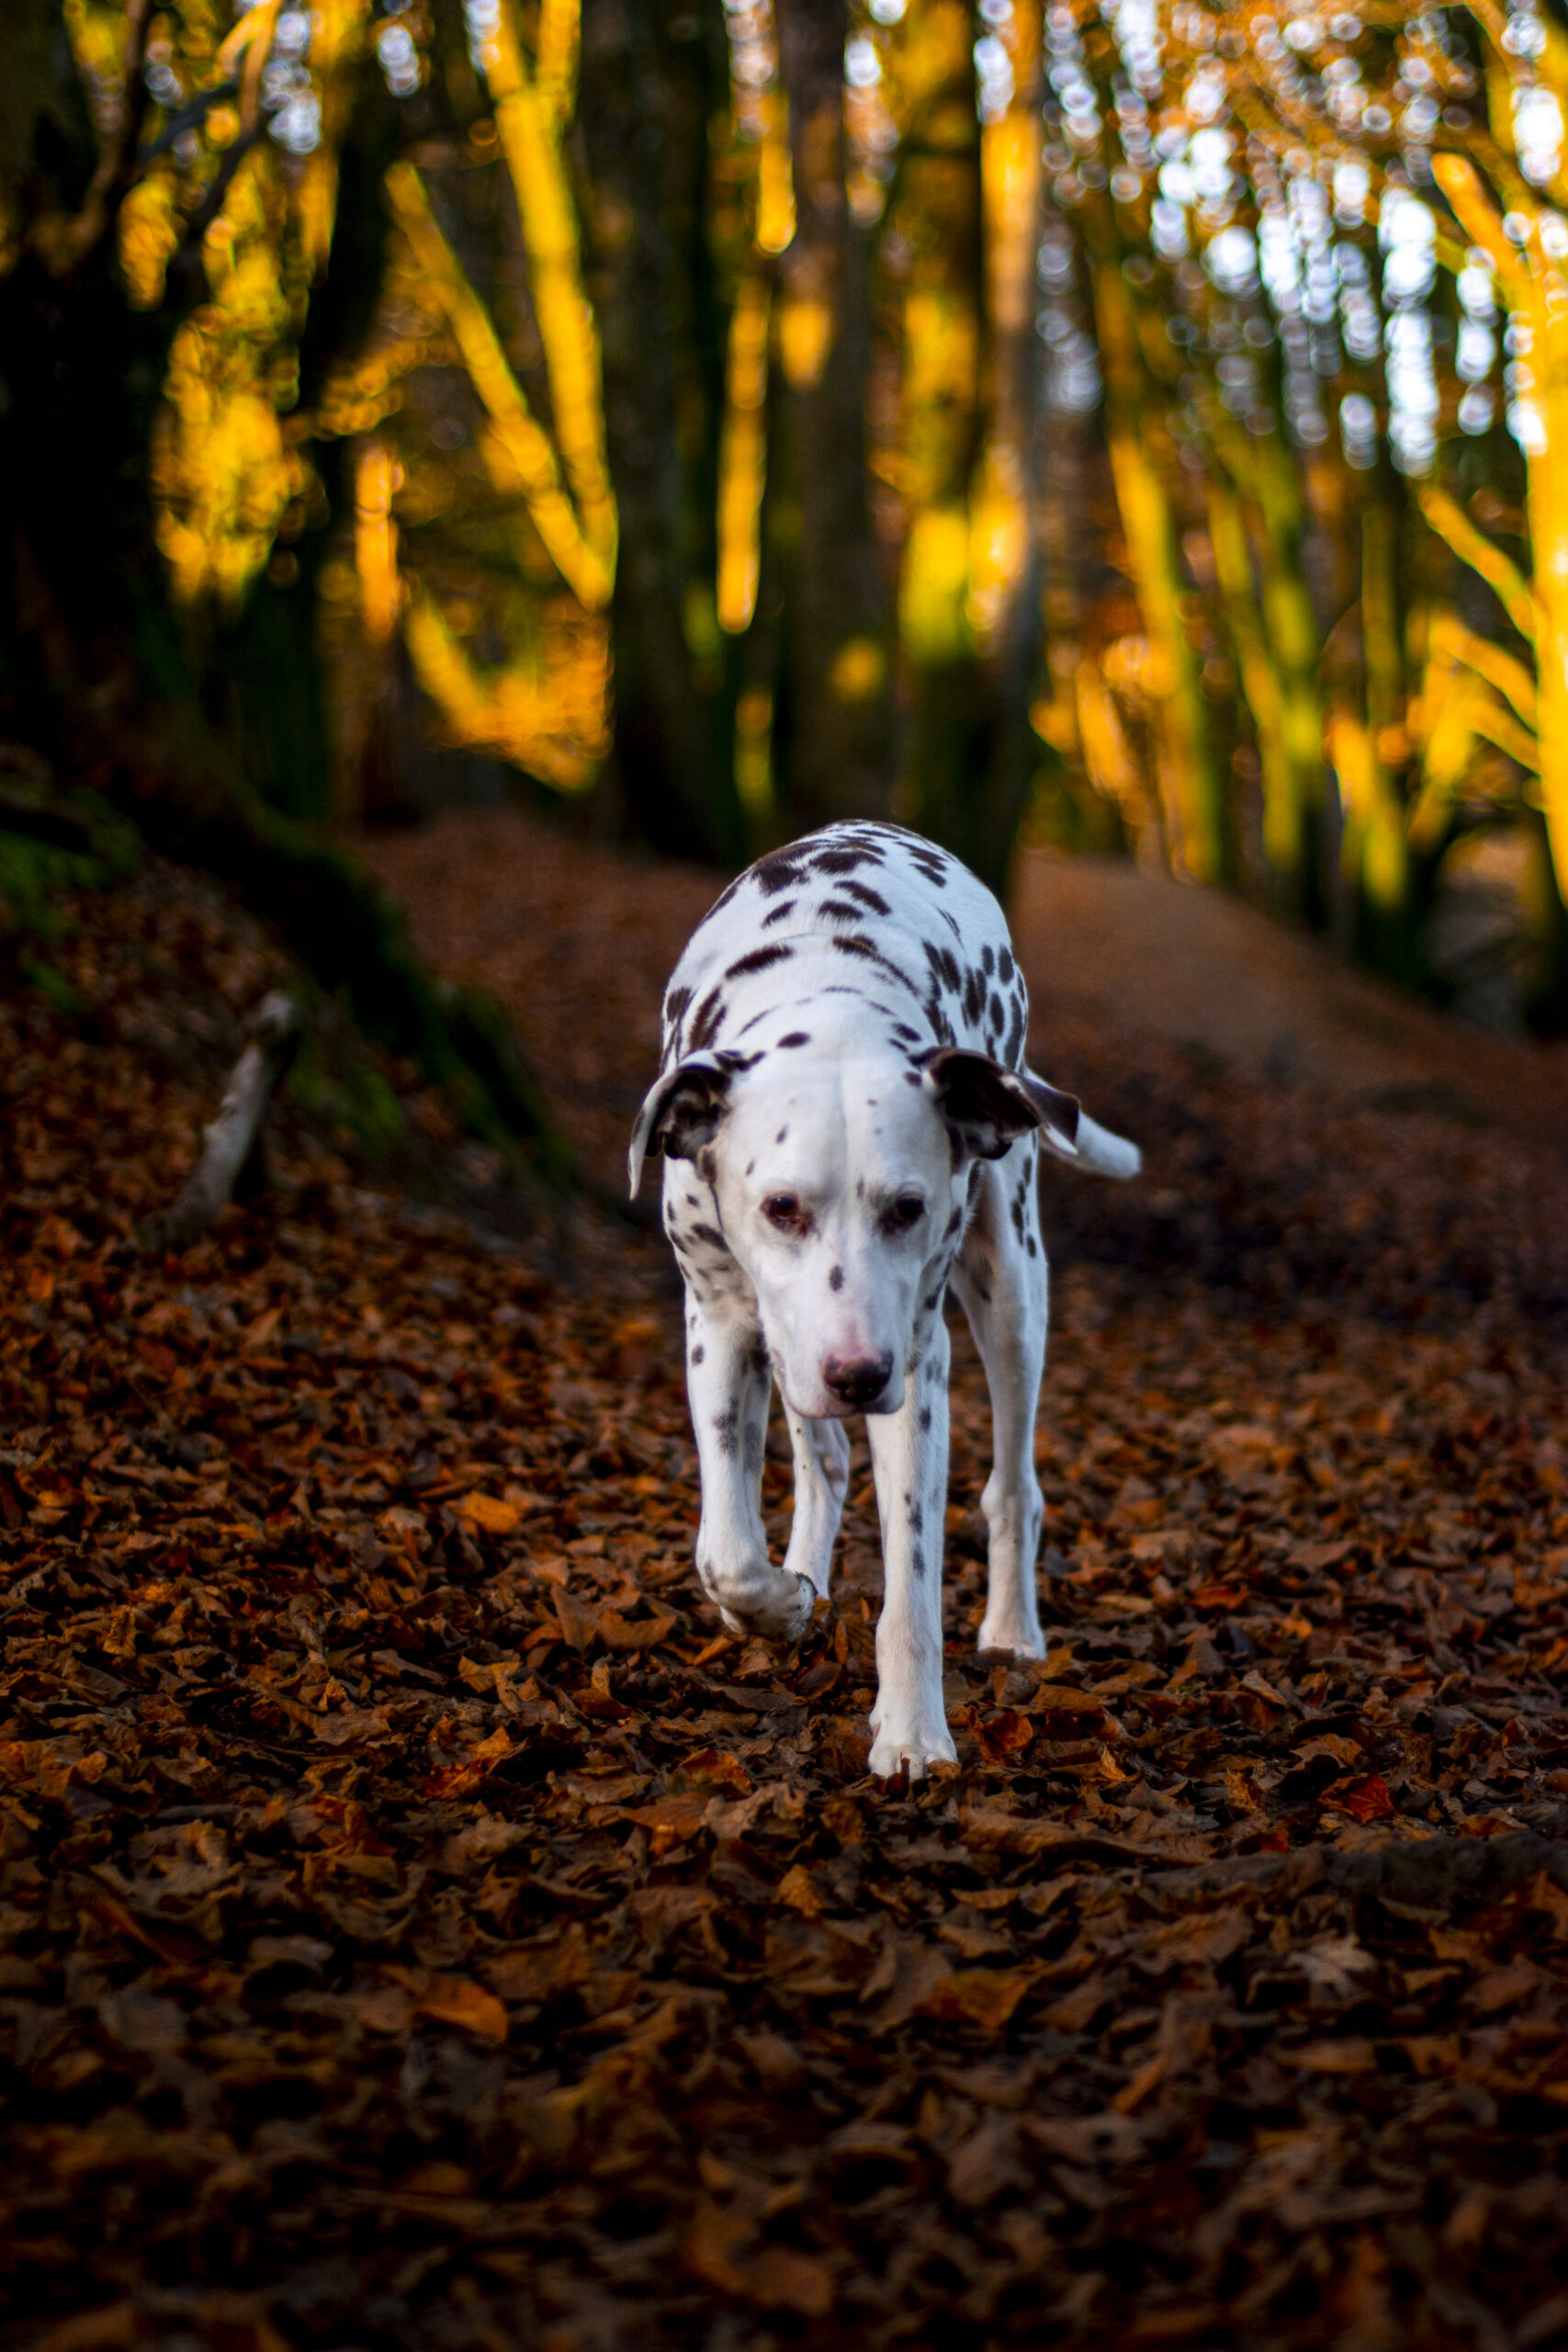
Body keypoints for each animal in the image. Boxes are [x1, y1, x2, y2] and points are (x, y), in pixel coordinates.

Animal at [629, 818, 1142, 1769]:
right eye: (780, 1206)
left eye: (907, 1207)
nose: (859, 1376)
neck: (826, 993)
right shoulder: (718, 1321)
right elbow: (726, 1550)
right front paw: (780, 1603)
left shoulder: (919, 1365)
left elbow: (911, 1579)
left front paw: (910, 1730)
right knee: (824, 1460)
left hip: (1011, 1286)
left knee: (1013, 1484)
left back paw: (1011, 1630)